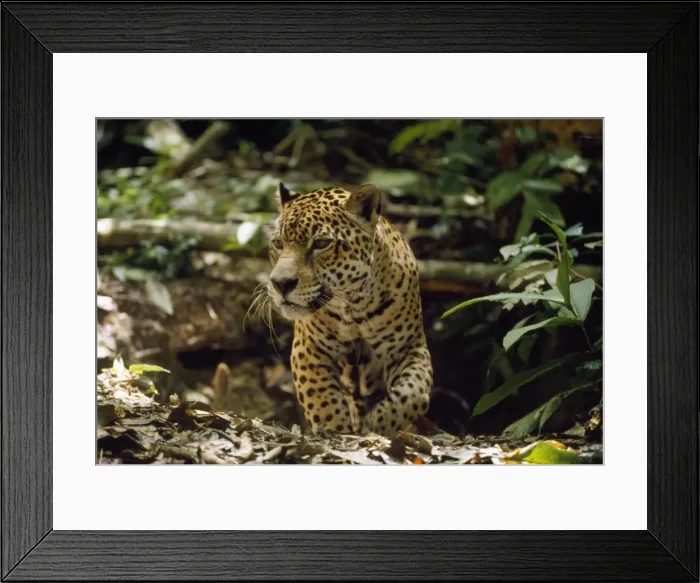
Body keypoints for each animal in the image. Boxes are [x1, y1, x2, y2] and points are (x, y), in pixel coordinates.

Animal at [263, 182, 432, 437]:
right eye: (278, 244)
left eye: (321, 244)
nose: (280, 283)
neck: (354, 305)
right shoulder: (308, 347)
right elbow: (320, 395)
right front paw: (335, 428)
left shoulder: (409, 347)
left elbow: (413, 394)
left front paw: (378, 424)